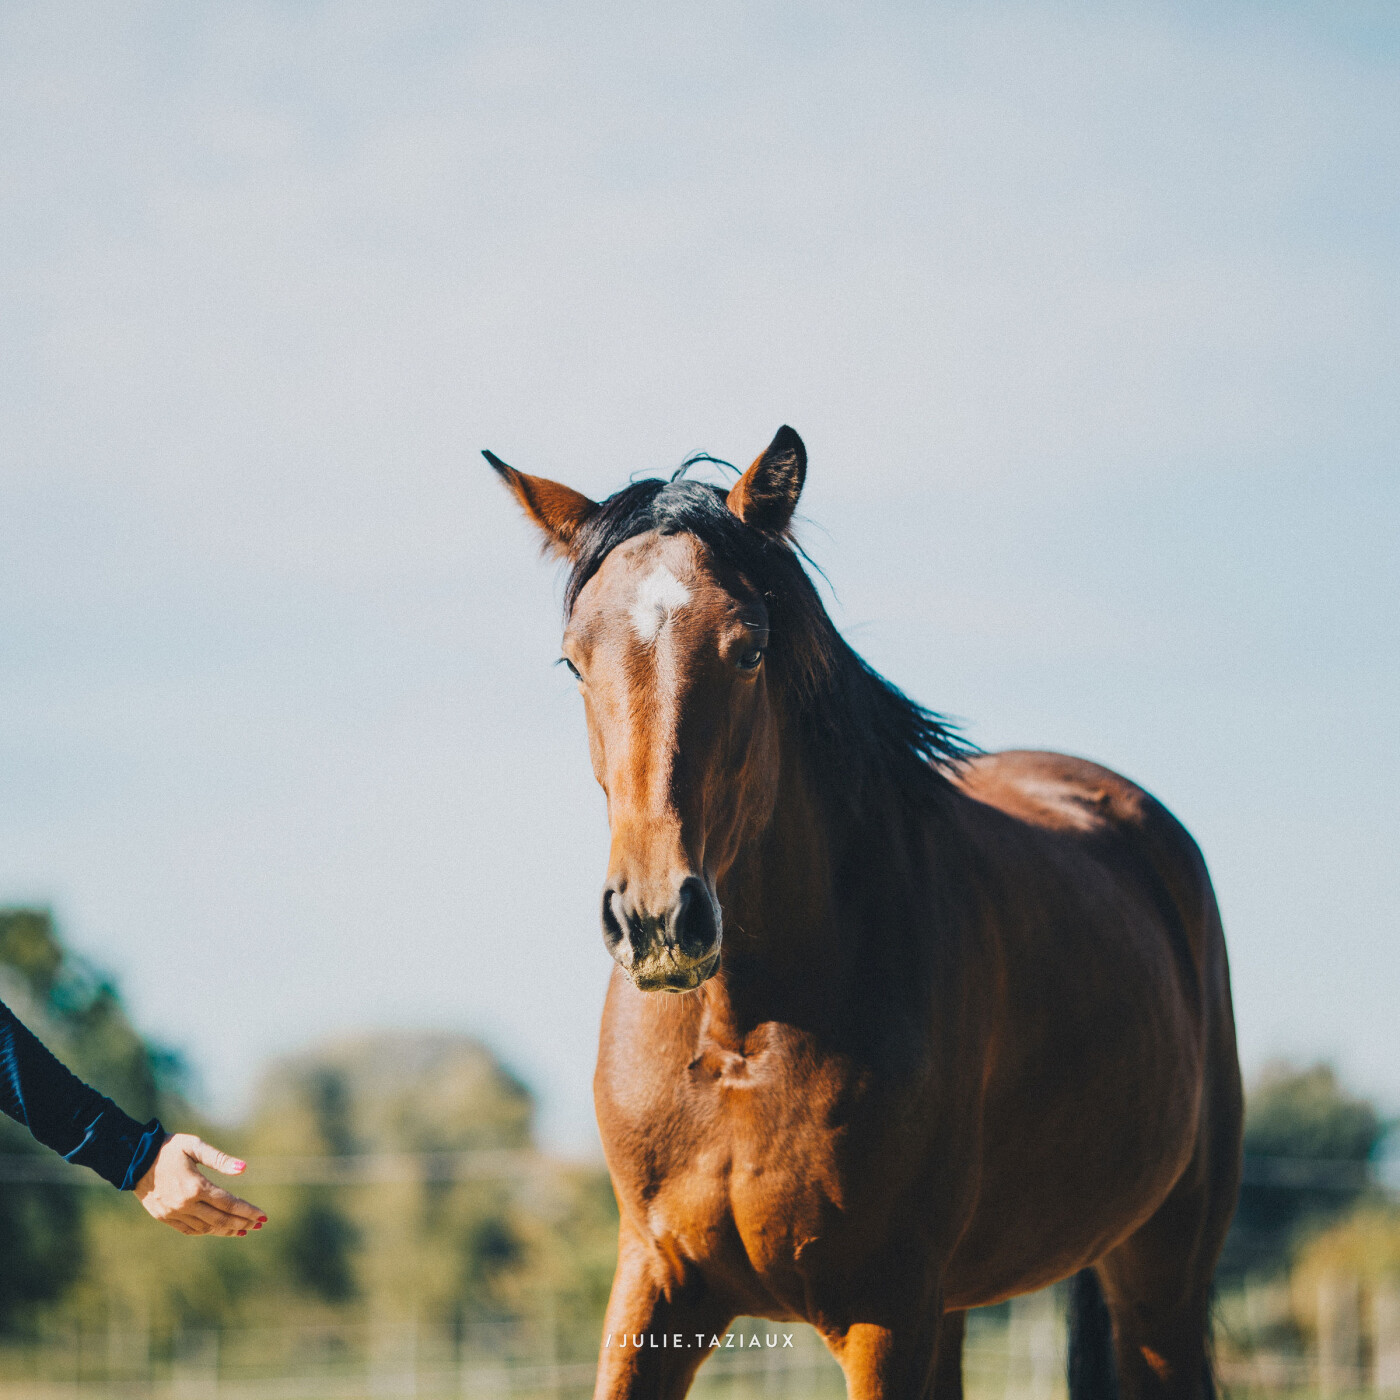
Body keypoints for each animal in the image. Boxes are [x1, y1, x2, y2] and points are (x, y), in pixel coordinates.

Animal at [487, 427, 1243, 1400]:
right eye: (574, 660)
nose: (656, 920)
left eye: (749, 649)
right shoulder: (656, 1282)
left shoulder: (884, 1312)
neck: (743, 1036)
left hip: (1159, 1281)